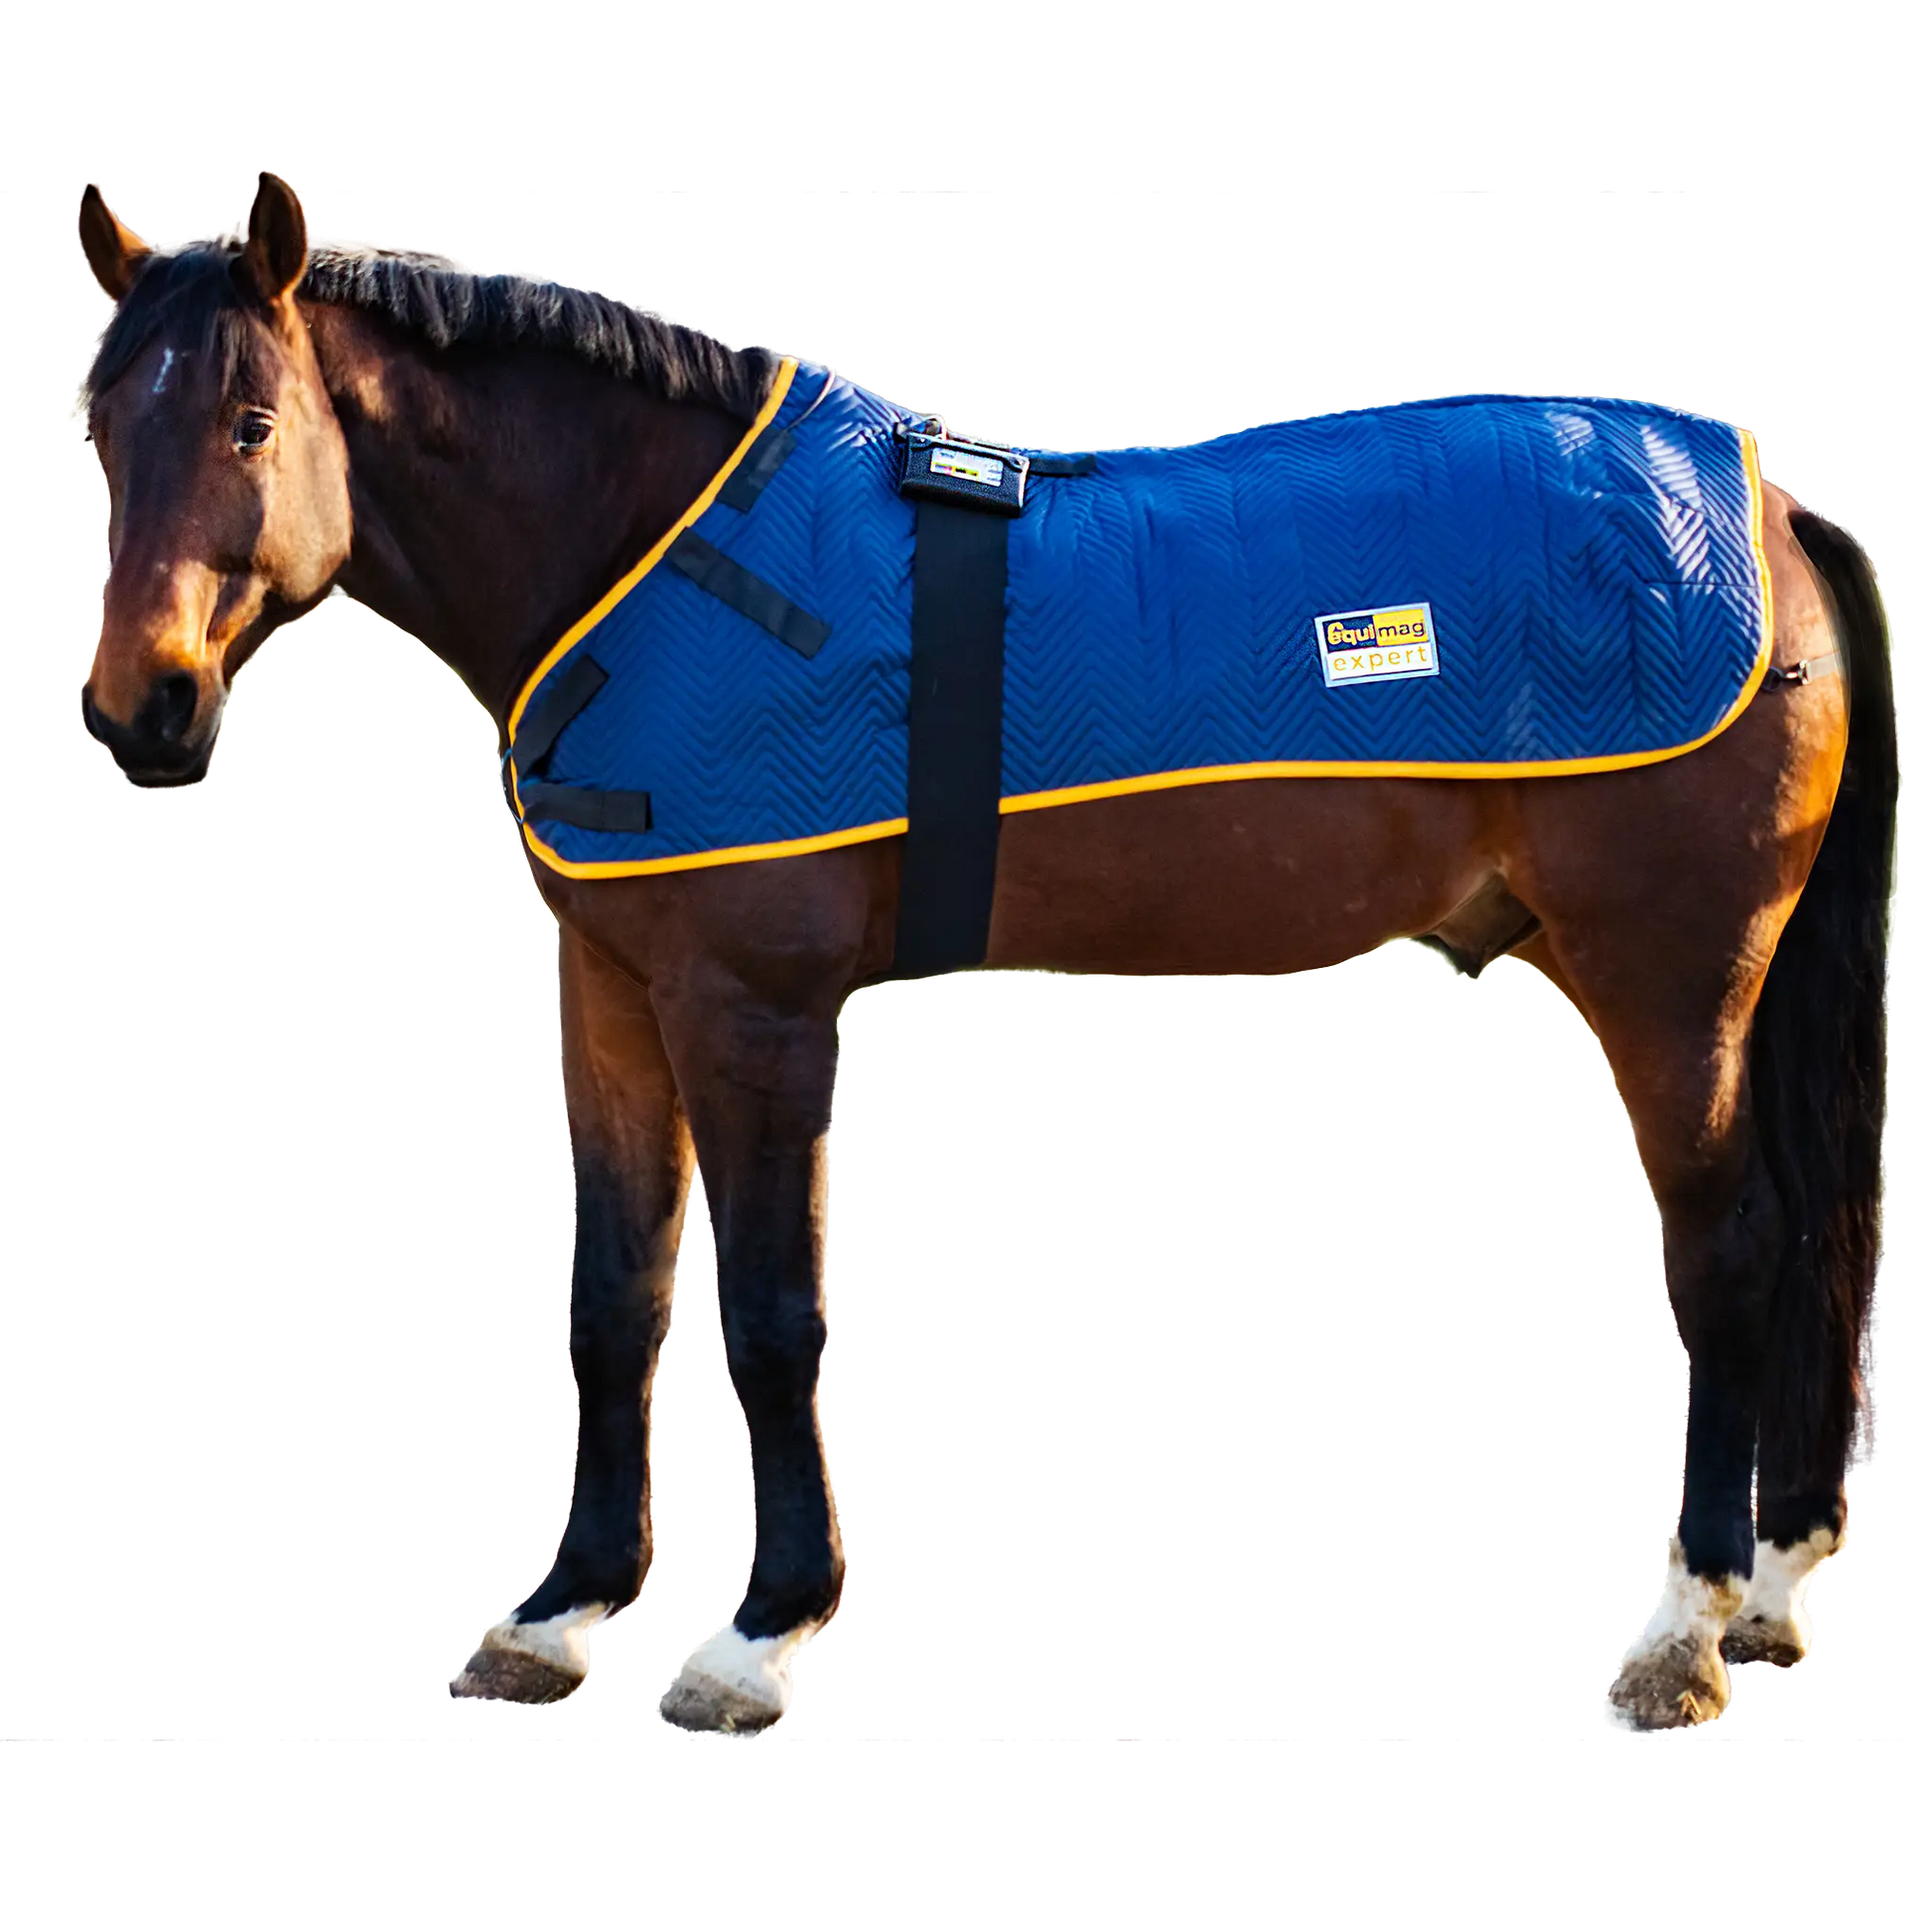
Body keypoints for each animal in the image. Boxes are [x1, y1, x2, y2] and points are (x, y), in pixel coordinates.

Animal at [69, 171, 1899, 1739]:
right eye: (95, 428)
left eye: (248, 420)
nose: (140, 711)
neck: (648, 554)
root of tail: (1771, 504)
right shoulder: (607, 991)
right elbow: (614, 1297)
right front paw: (557, 1612)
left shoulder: (758, 1011)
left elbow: (769, 1312)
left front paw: (759, 1633)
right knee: (1794, 1234)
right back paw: (1773, 1588)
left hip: (1666, 975)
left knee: (1727, 1249)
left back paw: (1683, 1628)